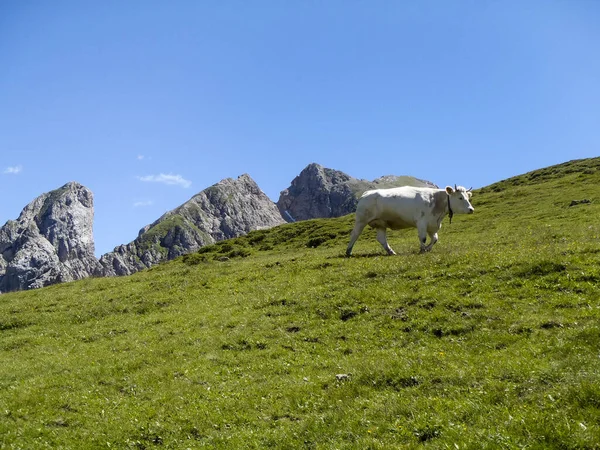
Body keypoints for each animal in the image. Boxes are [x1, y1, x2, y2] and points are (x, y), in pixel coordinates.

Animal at [346, 185, 474, 256]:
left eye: (468, 197)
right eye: (460, 198)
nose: (471, 209)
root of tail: (367, 193)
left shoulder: (432, 224)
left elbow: (435, 239)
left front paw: (427, 248)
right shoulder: (421, 222)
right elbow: (423, 238)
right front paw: (422, 250)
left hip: (380, 223)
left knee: (381, 239)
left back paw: (391, 252)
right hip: (361, 220)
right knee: (354, 234)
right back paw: (348, 252)